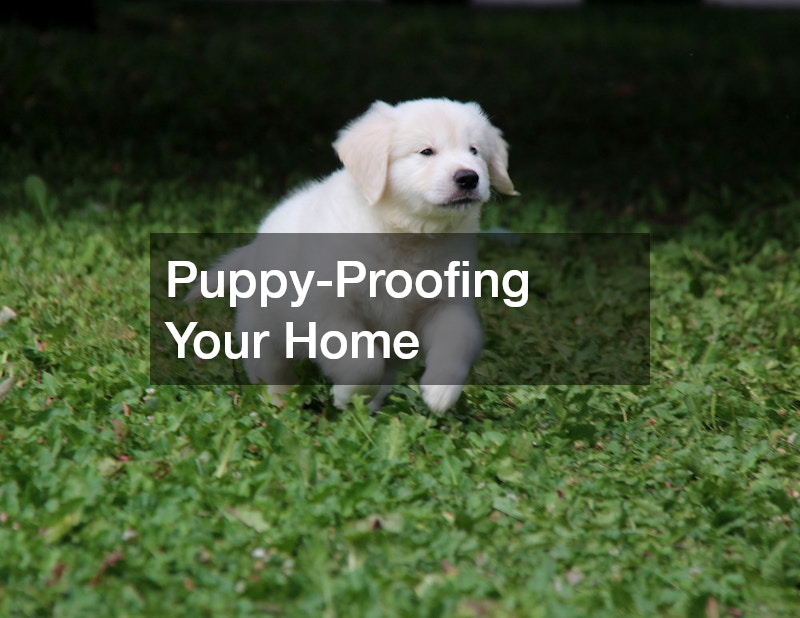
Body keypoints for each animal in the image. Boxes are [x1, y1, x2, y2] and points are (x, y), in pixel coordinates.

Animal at [191, 98, 517, 413]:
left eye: (474, 150)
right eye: (426, 151)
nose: (469, 178)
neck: (407, 235)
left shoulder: (447, 303)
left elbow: (457, 339)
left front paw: (440, 392)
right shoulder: (327, 311)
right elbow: (362, 362)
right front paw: (346, 395)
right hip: (263, 331)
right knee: (272, 373)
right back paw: (280, 402)